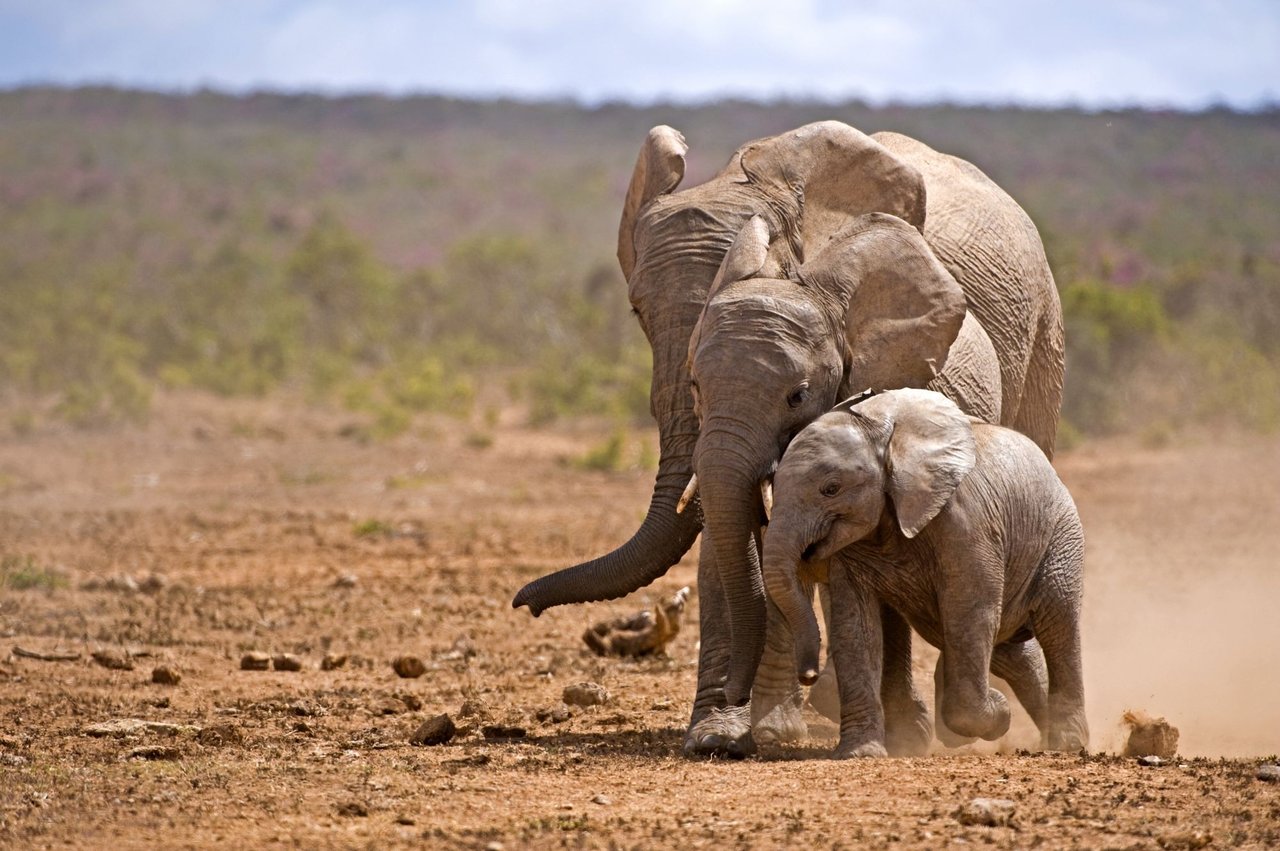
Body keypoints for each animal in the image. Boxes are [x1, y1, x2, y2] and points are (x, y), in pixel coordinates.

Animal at [762, 389, 1085, 752]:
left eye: (831, 488)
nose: (808, 675)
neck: (887, 440)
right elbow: (855, 625)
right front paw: (861, 753)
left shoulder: (967, 523)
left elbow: (971, 612)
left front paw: (999, 713)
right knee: (1011, 649)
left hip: (1062, 534)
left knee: (1057, 626)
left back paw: (1067, 742)